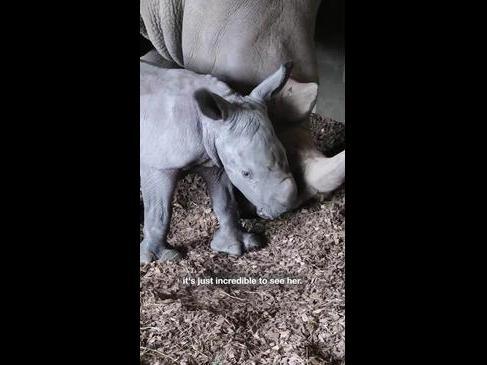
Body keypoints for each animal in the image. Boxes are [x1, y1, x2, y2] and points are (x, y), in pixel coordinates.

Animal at [139, 61, 296, 264]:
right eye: (246, 173)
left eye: (285, 154)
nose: (286, 207)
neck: (208, 123)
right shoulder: (159, 165)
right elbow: (159, 210)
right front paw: (159, 258)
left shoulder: (213, 158)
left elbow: (225, 202)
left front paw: (236, 246)